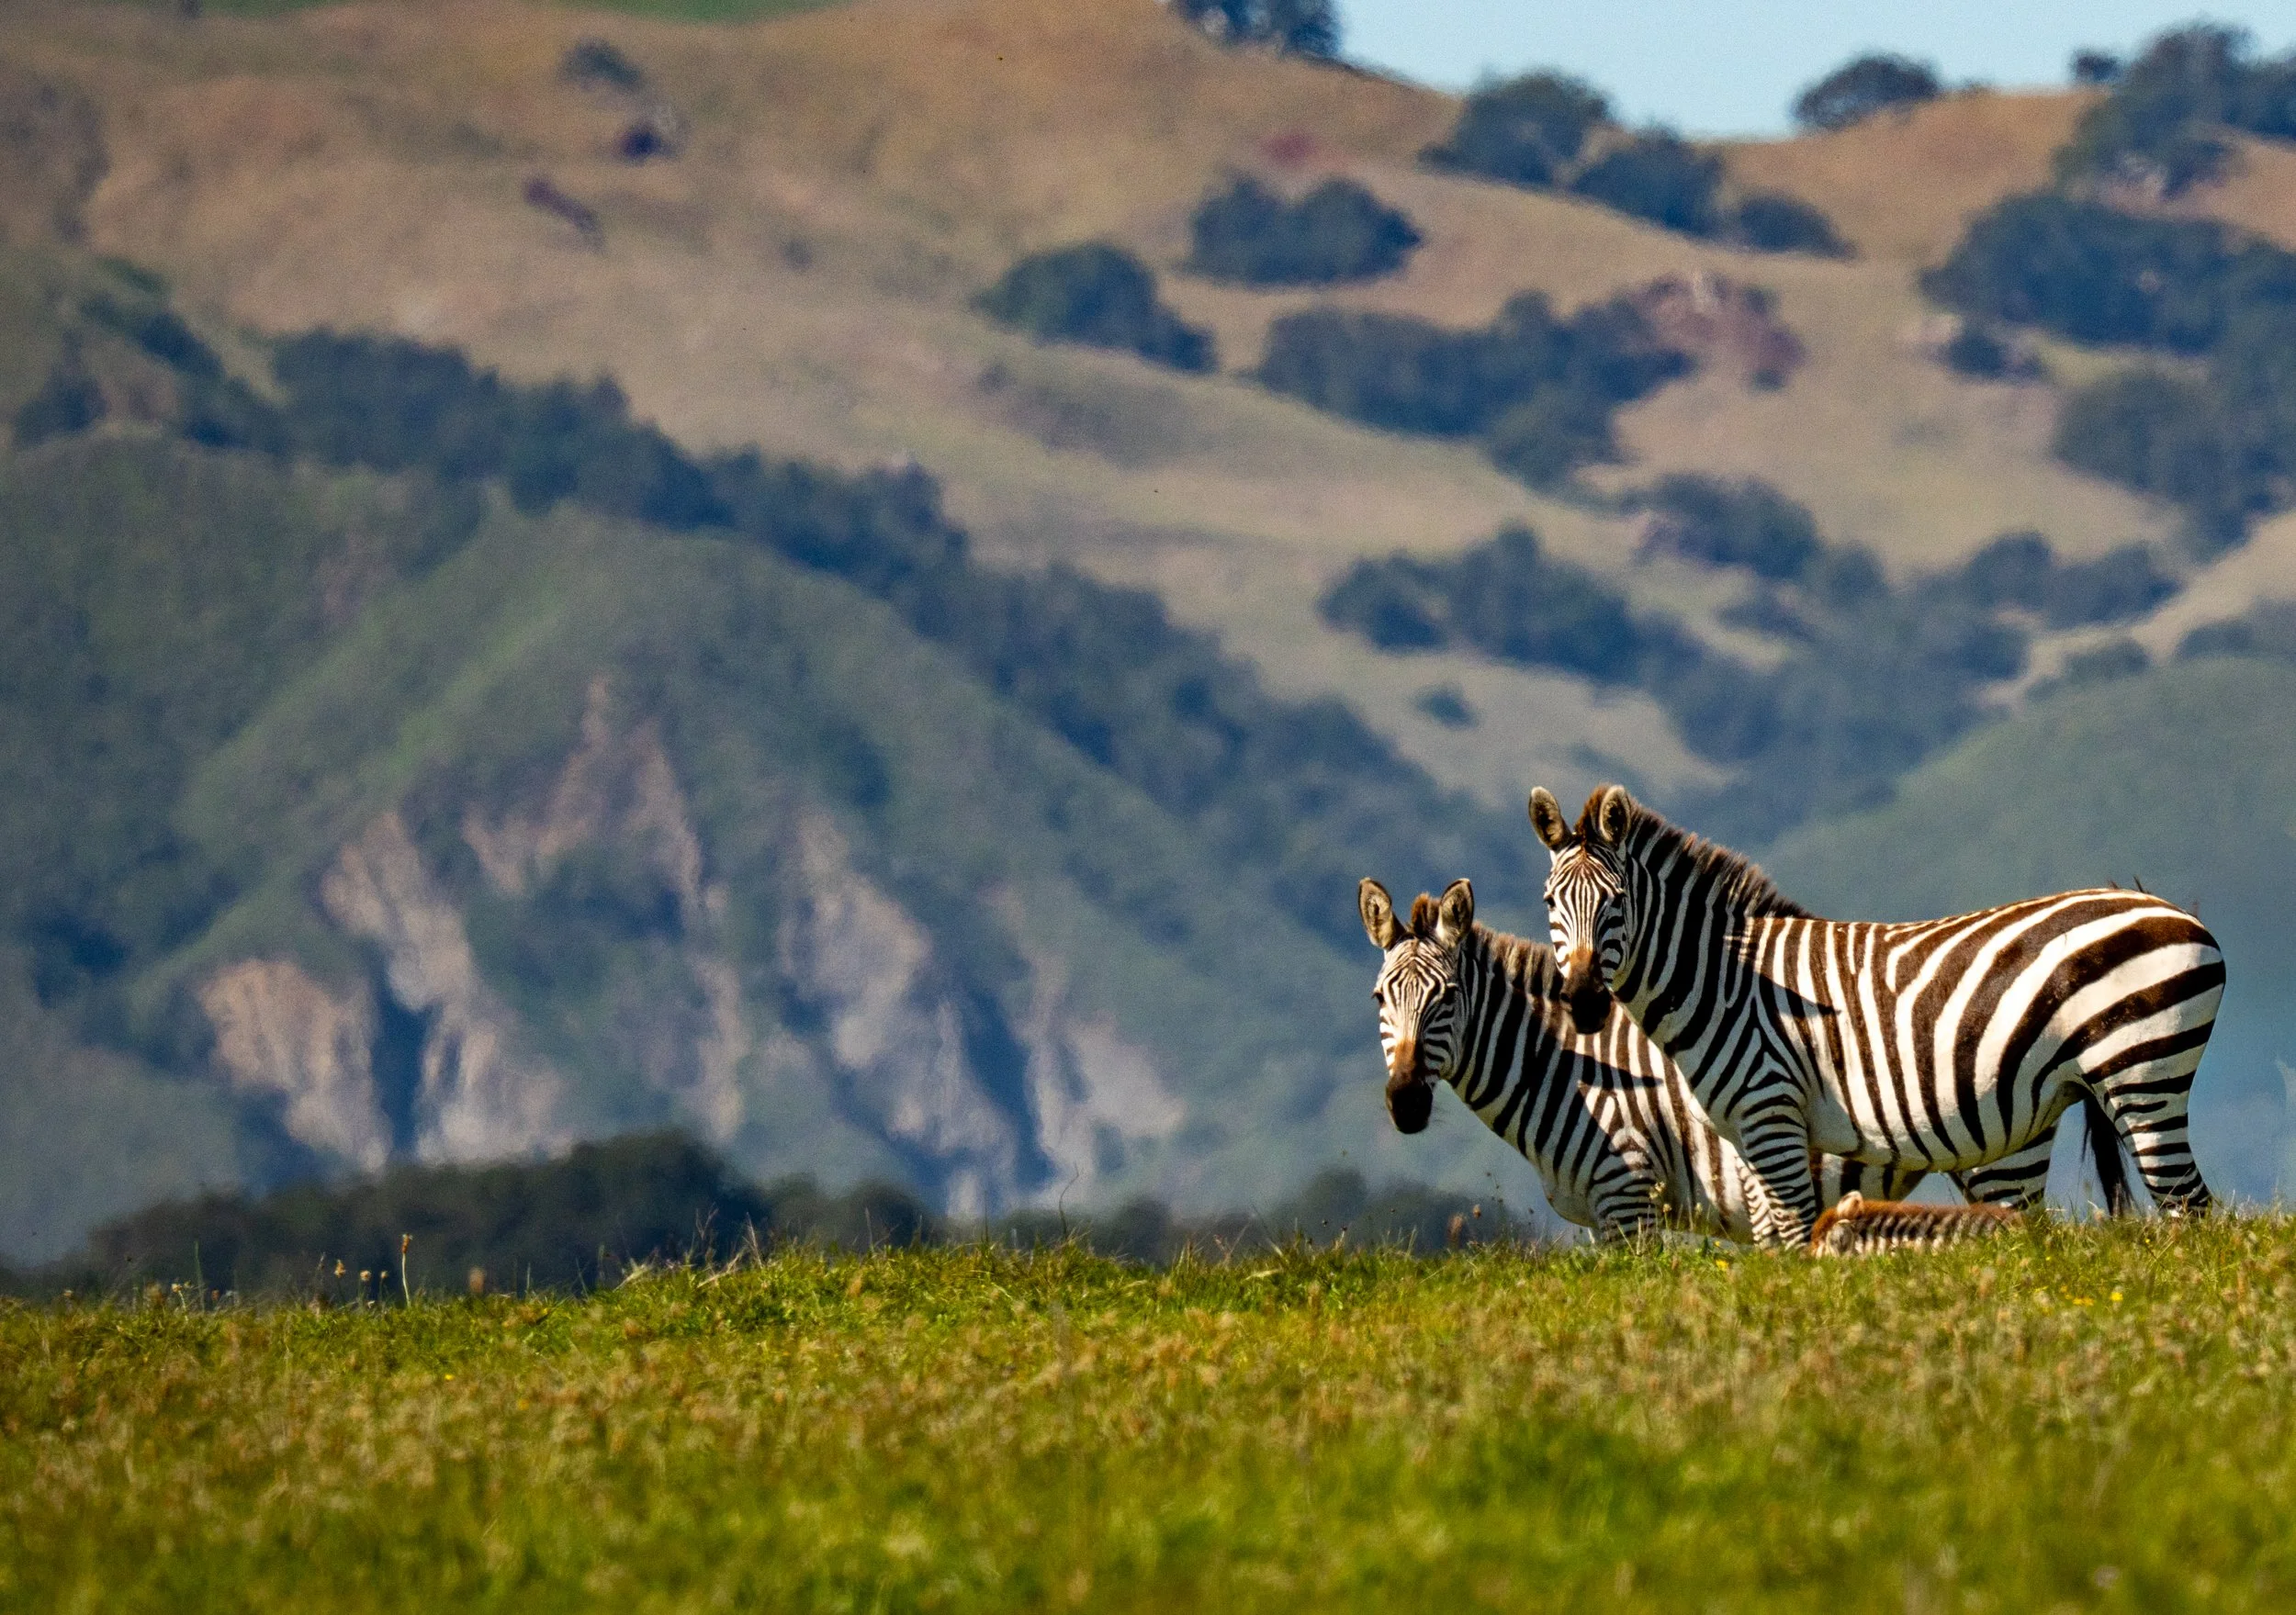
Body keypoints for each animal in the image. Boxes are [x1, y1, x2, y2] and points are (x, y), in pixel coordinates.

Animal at [1361, 875, 1928, 1245]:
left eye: (1449, 996)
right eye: (1379, 998)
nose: (1406, 1102)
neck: (1573, 1076)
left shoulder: (1628, 1196)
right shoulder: (1601, 1218)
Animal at [1527, 784, 2219, 1246]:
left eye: (1617, 902)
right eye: (1550, 902)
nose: (1583, 998)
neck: (1723, 983)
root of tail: (2163, 906)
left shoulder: (1772, 1111)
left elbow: (1796, 1235)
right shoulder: (1750, 1131)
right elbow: (1774, 1238)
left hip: (2142, 1073)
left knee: (2191, 1207)